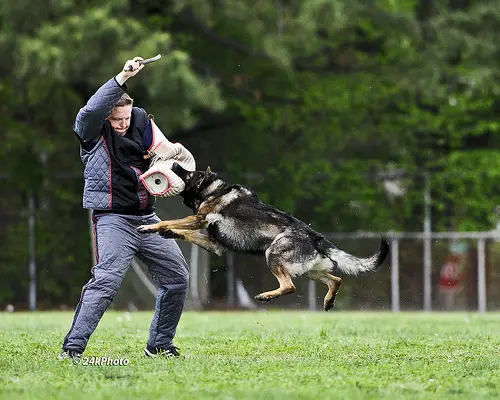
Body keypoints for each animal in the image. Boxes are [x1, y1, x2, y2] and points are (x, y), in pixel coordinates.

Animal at [138, 162, 390, 310]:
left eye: (188, 173)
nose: (173, 163)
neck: (213, 190)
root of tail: (315, 237)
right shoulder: (214, 245)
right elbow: (182, 232)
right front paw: (168, 232)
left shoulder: (200, 220)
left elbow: (170, 221)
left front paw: (153, 228)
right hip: (308, 271)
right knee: (336, 280)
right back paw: (328, 302)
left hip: (274, 256)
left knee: (290, 287)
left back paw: (265, 297)